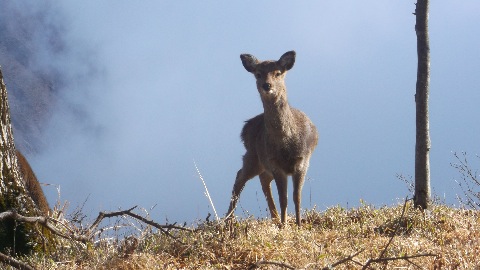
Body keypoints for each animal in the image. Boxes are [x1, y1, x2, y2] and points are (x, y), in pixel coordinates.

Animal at [226, 50, 316, 226]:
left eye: (278, 73)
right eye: (258, 74)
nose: (266, 85)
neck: (286, 142)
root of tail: (245, 128)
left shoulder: (302, 161)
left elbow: (297, 197)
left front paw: (298, 224)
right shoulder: (275, 164)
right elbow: (284, 198)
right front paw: (286, 225)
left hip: (261, 162)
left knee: (262, 179)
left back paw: (274, 219)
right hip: (253, 157)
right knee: (240, 176)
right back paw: (227, 221)